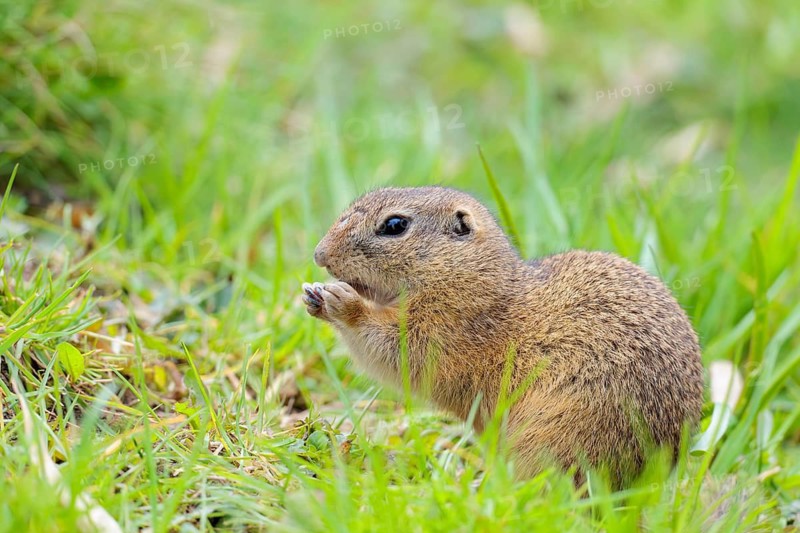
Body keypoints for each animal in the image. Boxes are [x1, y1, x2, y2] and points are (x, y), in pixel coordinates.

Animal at [302, 186, 704, 487]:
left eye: (395, 224)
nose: (319, 254)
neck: (474, 278)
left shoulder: (443, 329)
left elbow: (393, 349)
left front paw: (342, 302)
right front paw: (313, 297)